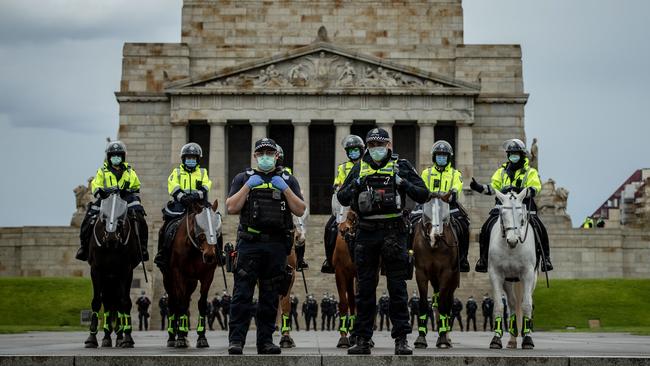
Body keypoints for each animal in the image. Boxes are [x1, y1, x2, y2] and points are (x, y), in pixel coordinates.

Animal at [162, 200, 223, 348]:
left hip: (191, 282)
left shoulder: (207, 276)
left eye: (216, 225)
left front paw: (201, 337)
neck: (195, 251)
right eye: (199, 226)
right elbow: (181, 304)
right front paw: (180, 338)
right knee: (173, 303)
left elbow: (201, 304)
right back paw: (173, 337)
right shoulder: (178, 274)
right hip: (168, 279)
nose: (209, 255)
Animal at [412, 192, 458, 348]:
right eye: (426, 211)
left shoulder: (446, 273)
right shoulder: (421, 272)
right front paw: (420, 338)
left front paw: (443, 338)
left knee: (447, 301)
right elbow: (423, 302)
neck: (433, 246)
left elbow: (444, 303)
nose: (436, 235)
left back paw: (446, 336)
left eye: (444, 213)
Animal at [486, 190, 536, 350]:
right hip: (508, 280)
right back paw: (512, 340)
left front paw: (527, 339)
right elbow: (499, 306)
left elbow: (527, 305)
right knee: (512, 303)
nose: (513, 240)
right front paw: (496, 339)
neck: (511, 250)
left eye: (521, 215)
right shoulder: (495, 274)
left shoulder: (528, 274)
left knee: (526, 300)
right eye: (503, 213)